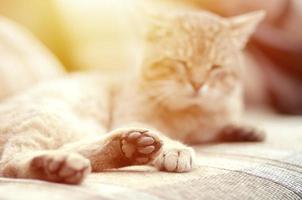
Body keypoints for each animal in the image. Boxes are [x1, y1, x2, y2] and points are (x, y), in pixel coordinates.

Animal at [0, 9, 264, 184]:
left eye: (215, 67)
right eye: (180, 62)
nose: (198, 84)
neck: (190, 114)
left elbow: (218, 127)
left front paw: (243, 129)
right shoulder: (134, 116)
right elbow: (166, 135)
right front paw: (176, 150)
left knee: (77, 150)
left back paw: (127, 148)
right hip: (51, 117)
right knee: (10, 163)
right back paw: (58, 164)